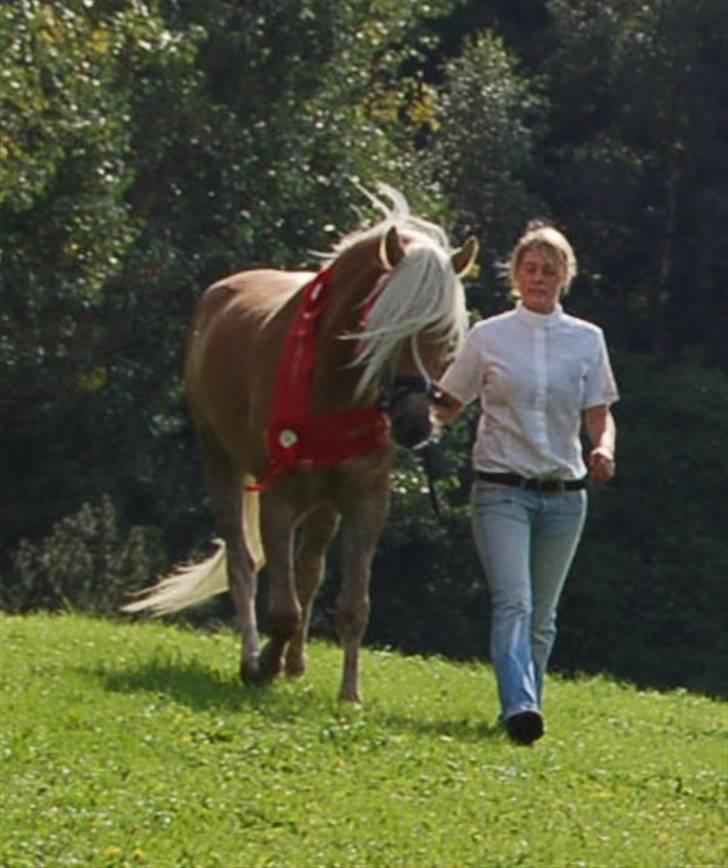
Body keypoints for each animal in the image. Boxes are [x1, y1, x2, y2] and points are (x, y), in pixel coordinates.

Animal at [123, 186, 478, 700]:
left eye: (447, 336)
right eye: (389, 326)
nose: (414, 425)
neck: (329, 383)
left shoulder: (366, 501)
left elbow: (352, 605)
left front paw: (349, 695)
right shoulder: (279, 497)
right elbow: (282, 608)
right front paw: (261, 667)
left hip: (324, 503)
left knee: (308, 570)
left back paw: (294, 663)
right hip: (221, 463)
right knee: (243, 563)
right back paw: (259, 657)